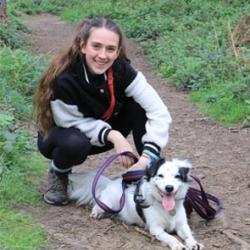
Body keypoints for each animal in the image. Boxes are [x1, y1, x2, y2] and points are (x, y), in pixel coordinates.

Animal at [68, 157, 203, 249]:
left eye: (177, 176)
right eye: (160, 175)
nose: (169, 188)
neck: (165, 208)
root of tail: (111, 182)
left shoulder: (182, 224)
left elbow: (188, 234)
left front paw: (194, 243)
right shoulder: (156, 229)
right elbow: (170, 237)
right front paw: (179, 245)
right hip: (109, 202)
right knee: (99, 205)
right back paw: (97, 213)